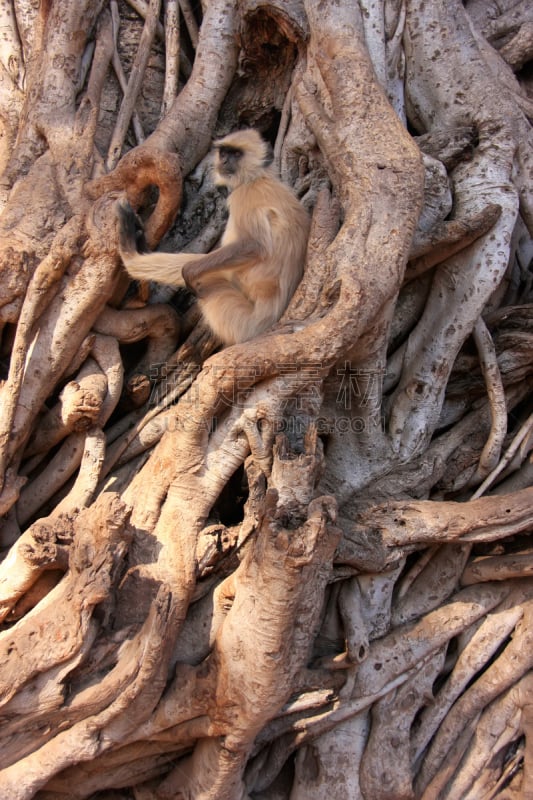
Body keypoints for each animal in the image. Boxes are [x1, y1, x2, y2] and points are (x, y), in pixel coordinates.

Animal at [116, 128, 308, 344]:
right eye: (224, 152)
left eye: (236, 154)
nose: (223, 161)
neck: (257, 178)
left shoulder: (244, 196)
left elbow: (254, 246)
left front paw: (189, 272)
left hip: (240, 322)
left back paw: (130, 254)